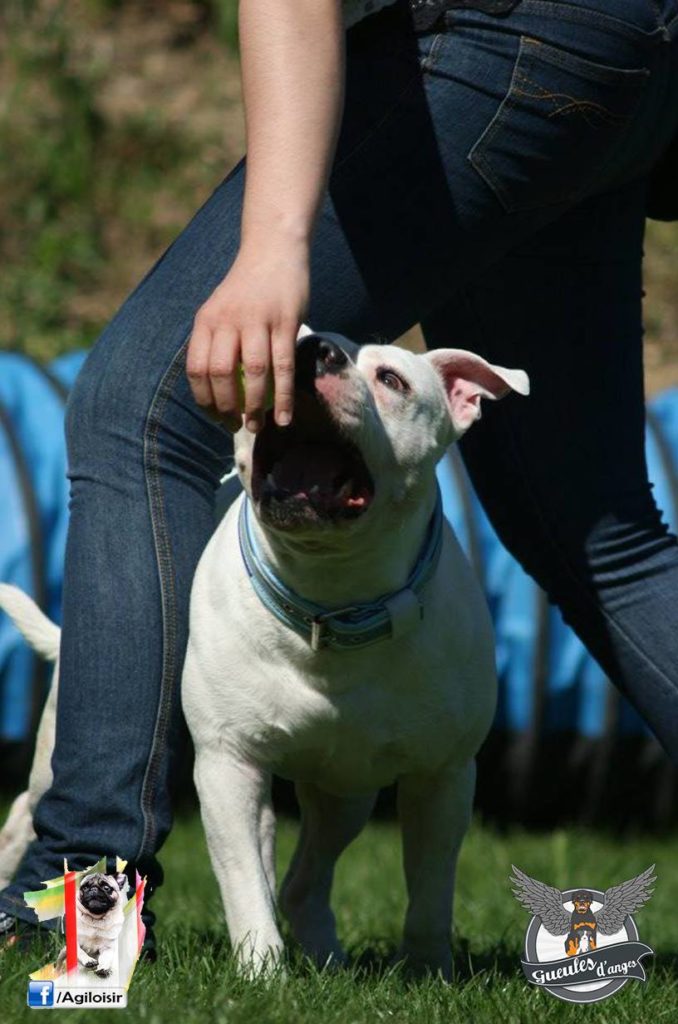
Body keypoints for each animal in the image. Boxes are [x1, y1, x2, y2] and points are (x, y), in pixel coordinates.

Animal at [182, 331, 532, 978]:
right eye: (280, 346)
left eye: (392, 380)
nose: (314, 351)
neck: (334, 594)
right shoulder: (227, 763)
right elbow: (242, 879)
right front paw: (262, 974)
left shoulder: (443, 776)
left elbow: (431, 889)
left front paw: (428, 972)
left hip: (345, 793)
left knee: (304, 881)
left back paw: (329, 961)